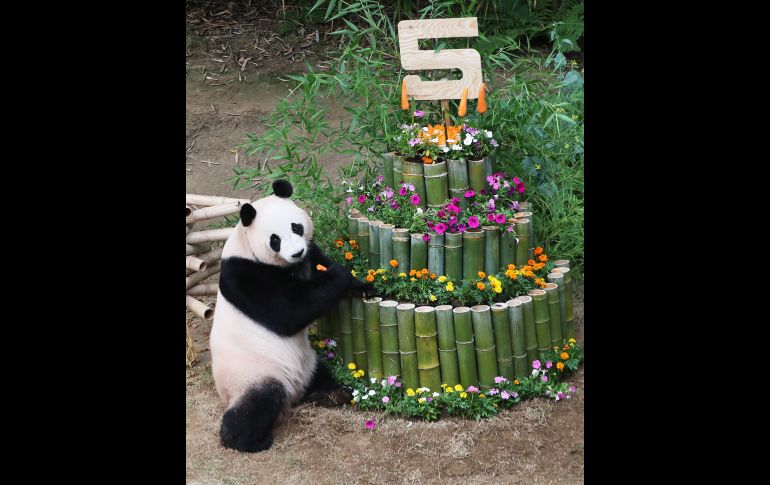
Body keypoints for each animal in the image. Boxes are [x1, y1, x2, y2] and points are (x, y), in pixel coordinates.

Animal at [210, 180, 372, 452]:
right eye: (274, 239)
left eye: (296, 227)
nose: (296, 252)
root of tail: (294, 393)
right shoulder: (246, 274)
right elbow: (289, 312)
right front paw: (339, 275)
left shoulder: (310, 252)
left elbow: (318, 262)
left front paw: (365, 287)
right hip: (254, 374)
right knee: (257, 403)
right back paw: (248, 440)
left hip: (309, 362)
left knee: (319, 374)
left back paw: (332, 393)